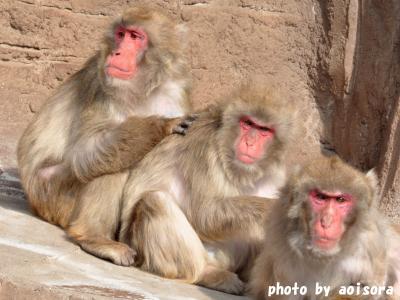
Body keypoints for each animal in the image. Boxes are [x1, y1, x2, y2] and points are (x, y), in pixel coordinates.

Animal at [18, 6, 192, 251]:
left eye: (135, 37)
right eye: (120, 34)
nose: (117, 53)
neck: (140, 88)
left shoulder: (176, 90)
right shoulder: (99, 82)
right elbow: (85, 151)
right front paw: (163, 125)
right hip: (50, 192)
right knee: (110, 163)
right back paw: (93, 238)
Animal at [66, 83, 296, 294]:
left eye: (265, 130)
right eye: (248, 123)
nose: (250, 143)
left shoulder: (277, 173)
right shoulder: (205, 149)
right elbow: (204, 213)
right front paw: (274, 208)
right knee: (155, 201)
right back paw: (206, 273)